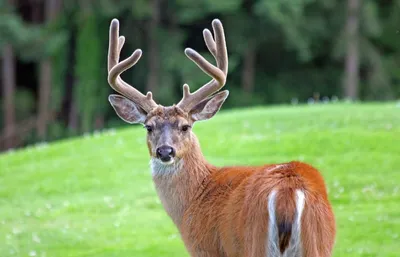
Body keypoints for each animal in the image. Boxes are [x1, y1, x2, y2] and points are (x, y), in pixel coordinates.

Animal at [105, 18, 334, 256]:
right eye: (148, 127)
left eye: (185, 126)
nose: (165, 151)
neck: (195, 196)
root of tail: (287, 192)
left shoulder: (205, 247)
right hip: (318, 242)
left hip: (254, 243)